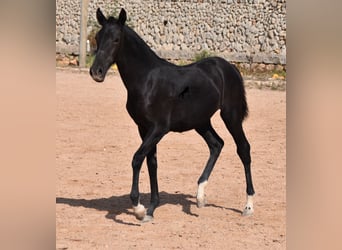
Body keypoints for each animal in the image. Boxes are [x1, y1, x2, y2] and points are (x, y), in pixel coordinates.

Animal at [89, 8, 255, 223]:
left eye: (116, 39)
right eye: (97, 37)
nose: (96, 72)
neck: (147, 80)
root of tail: (229, 67)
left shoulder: (159, 128)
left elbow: (137, 158)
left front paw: (138, 208)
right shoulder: (143, 128)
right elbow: (151, 163)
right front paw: (151, 209)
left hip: (231, 116)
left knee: (243, 149)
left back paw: (248, 206)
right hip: (201, 121)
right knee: (216, 144)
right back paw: (200, 196)